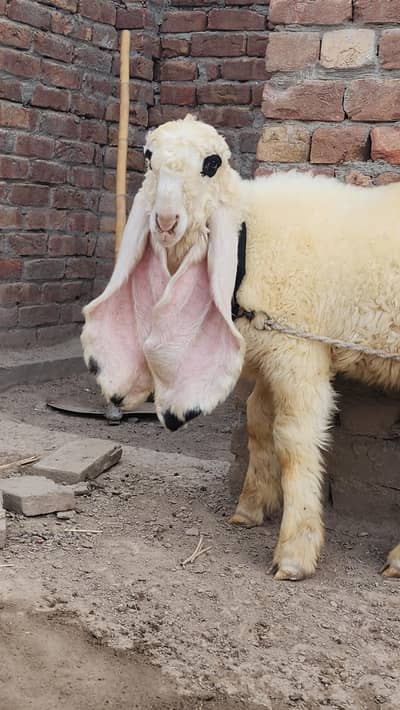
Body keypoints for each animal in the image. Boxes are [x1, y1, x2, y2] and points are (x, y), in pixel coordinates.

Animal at [81, 114, 400, 581]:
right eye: (148, 156)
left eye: (211, 164)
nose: (165, 221)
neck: (249, 236)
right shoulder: (270, 352)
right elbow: (257, 422)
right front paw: (250, 508)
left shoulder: (298, 350)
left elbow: (294, 439)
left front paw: (294, 552)